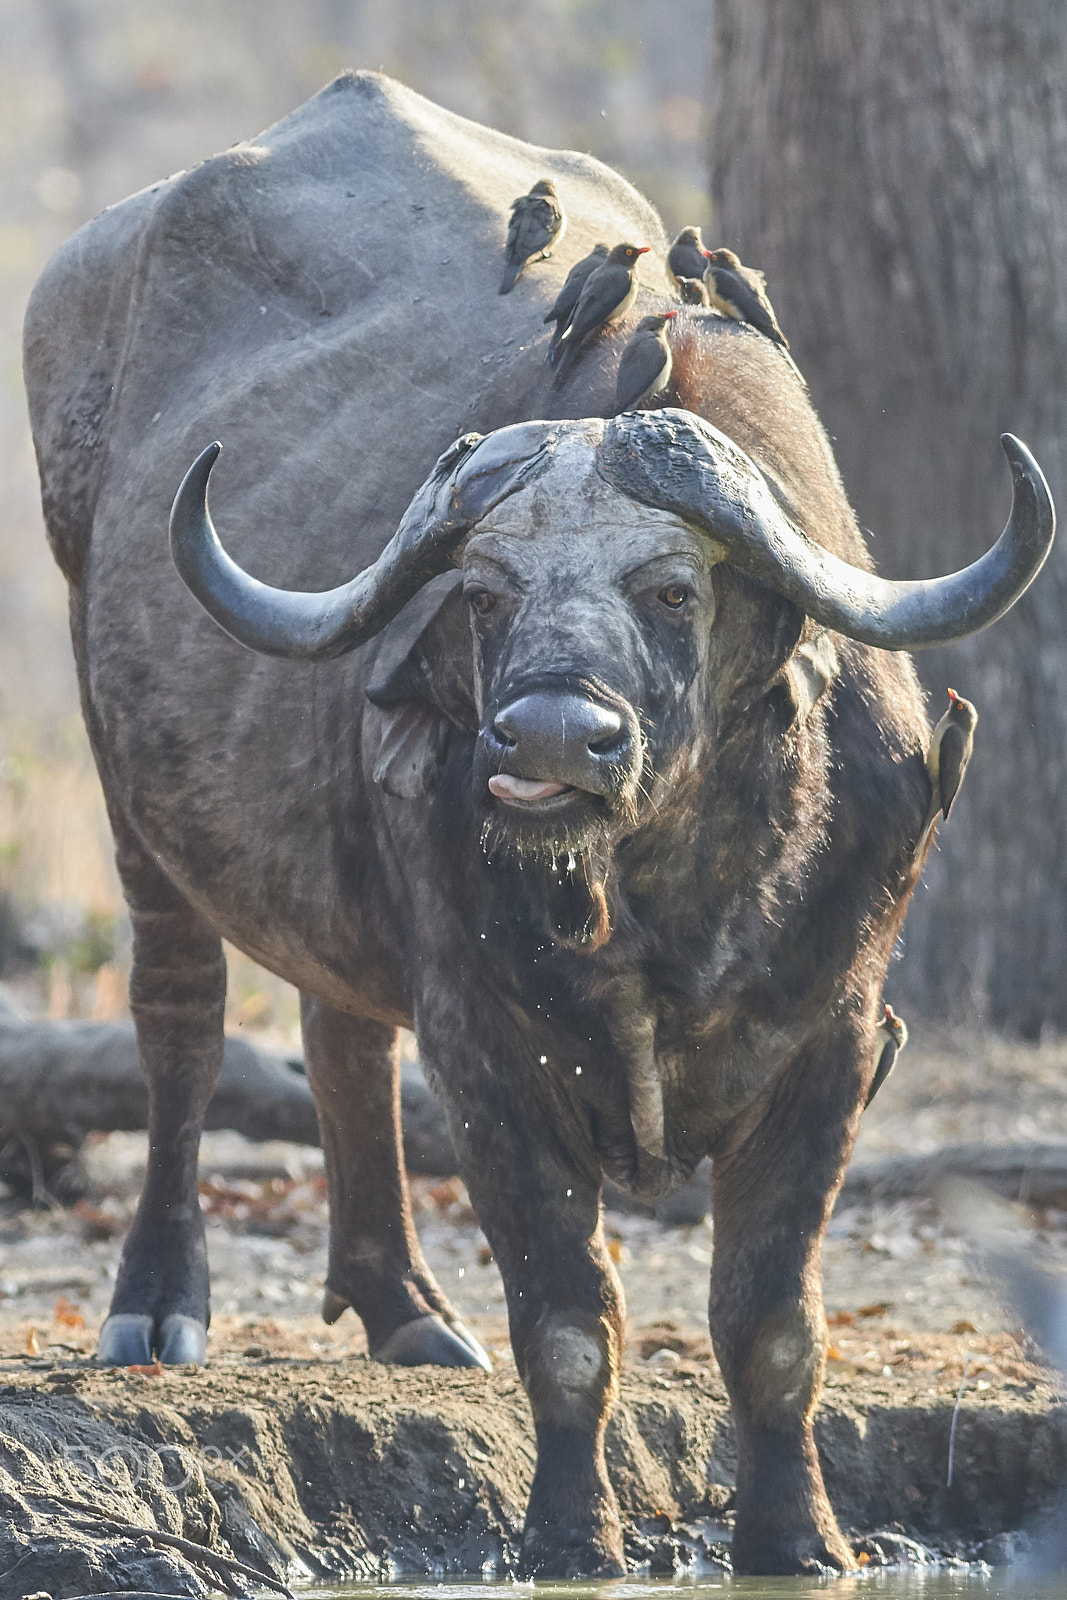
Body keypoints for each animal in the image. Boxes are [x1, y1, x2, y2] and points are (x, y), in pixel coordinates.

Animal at [22, 75, 1049, 1574]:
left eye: (673, 588)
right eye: (486, 591)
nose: (549, 741)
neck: (667, 902)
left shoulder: (839, 1037)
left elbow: (771, 1324)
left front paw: (797, 1536)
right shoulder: (487, 1050)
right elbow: (567, 1318)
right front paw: (571, 1532)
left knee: (339, 1028)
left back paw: (404, 1307)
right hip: (132, 804)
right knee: (181, 1027)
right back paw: (160, 1297)